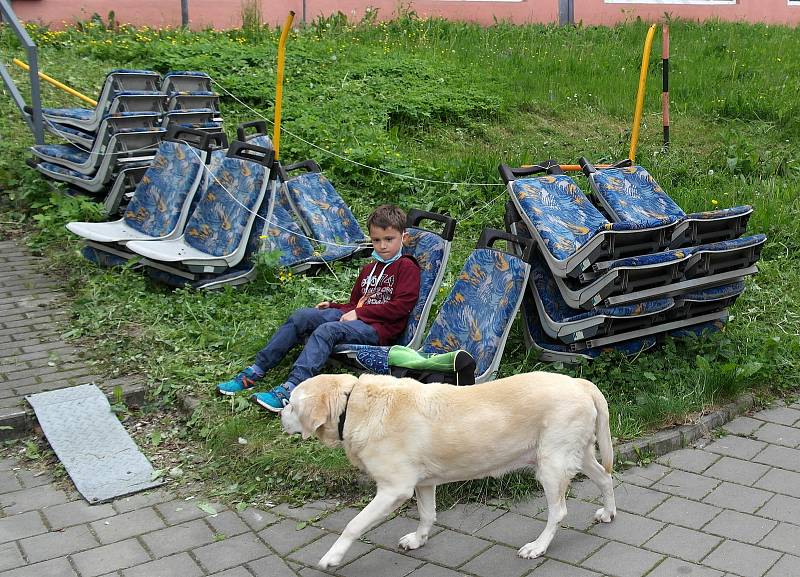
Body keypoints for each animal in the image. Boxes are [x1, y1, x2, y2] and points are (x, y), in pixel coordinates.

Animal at [282, 372, 620, 568]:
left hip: (550, 464)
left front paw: (331, 557)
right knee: (605, 477)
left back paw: (537, 547)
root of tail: (580, 383)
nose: (279, 414)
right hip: (578, 454)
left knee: (558, 511)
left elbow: (353, 525)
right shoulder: (423, 484)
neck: (352, 404)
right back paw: (608, 513)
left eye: (291, 404)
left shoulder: (393, 490)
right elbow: (427, 515)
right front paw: (418, 540)